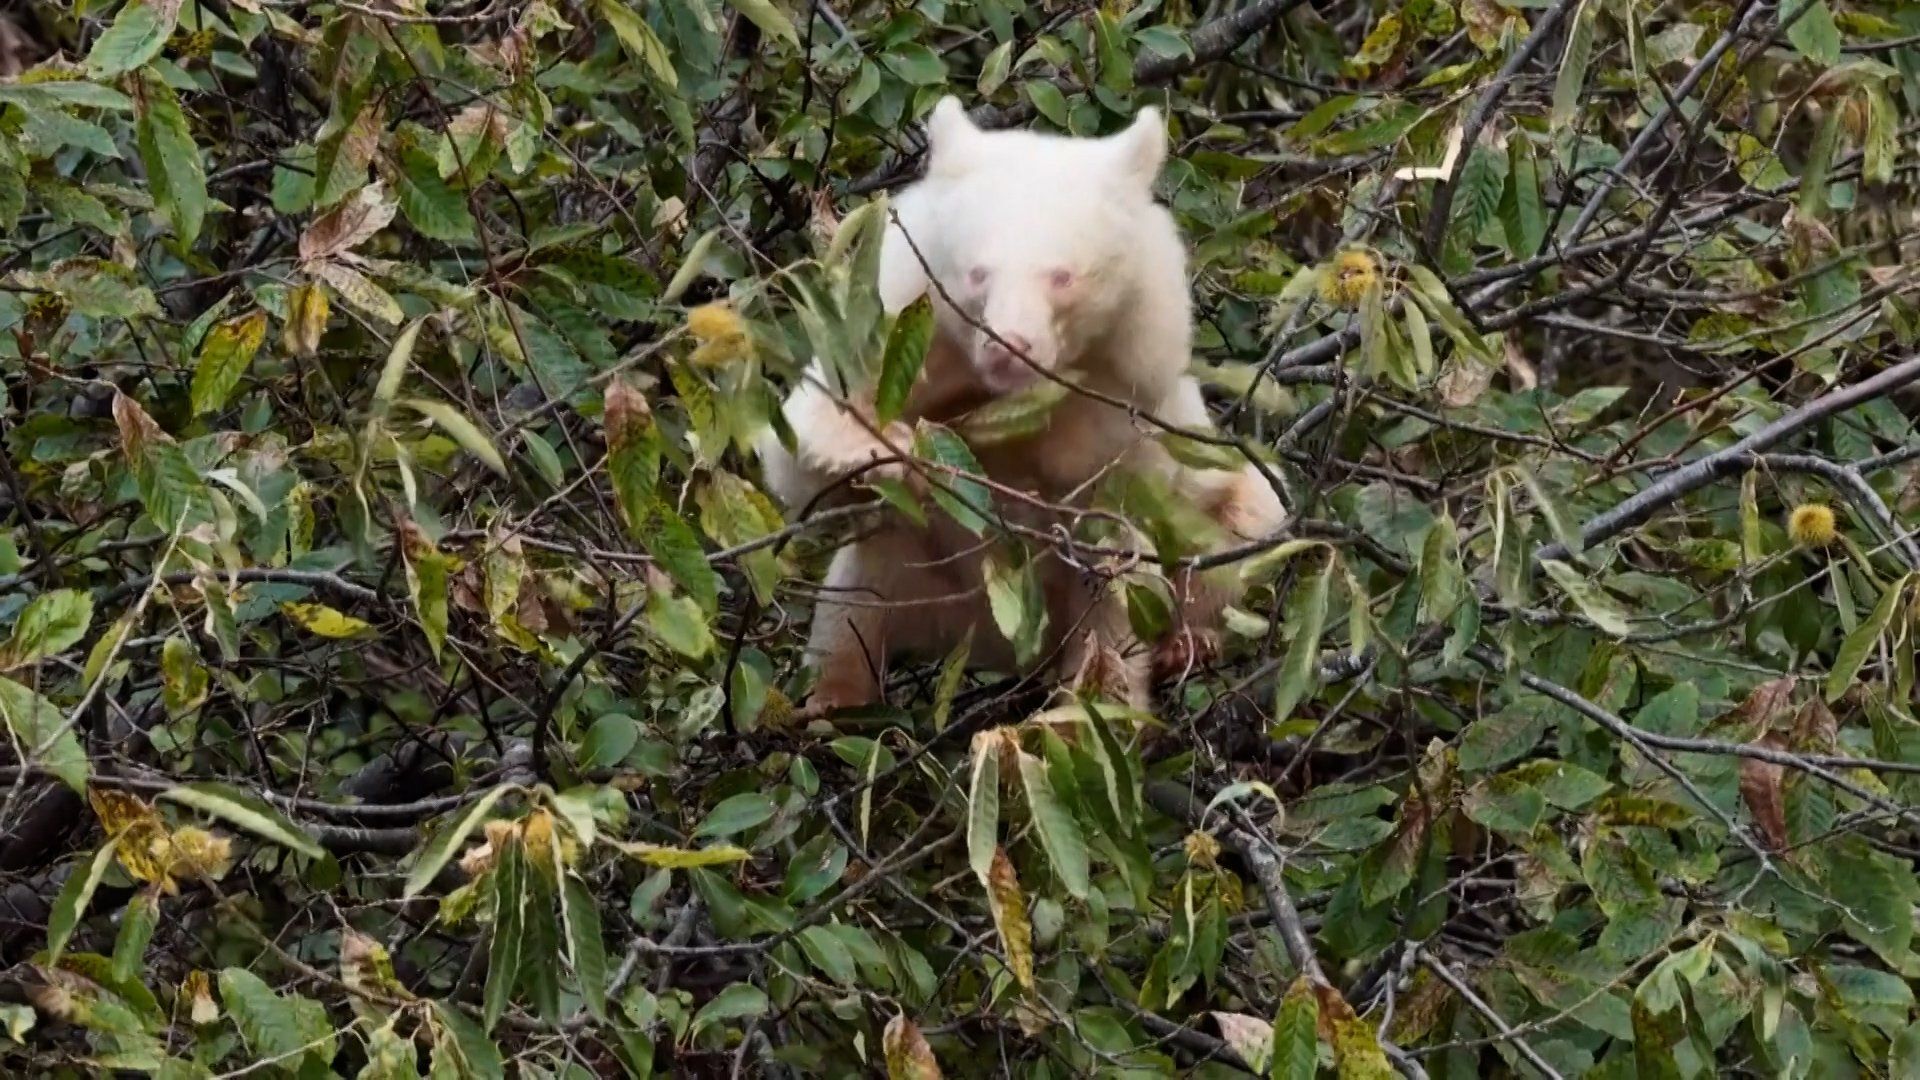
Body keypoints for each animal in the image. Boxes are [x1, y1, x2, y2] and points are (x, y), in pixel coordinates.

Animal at [756, 96, 1286, 717]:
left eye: (1062, 276)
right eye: (977, 272)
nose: (1010, 345)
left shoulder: (1126, 411)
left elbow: (1119, 559)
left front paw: (1091, 703)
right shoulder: (893, 336)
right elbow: (800, 448)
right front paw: (890, 451)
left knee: (1245, 527)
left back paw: (1185, 645)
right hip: (906, 575)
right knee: (849, 614)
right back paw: (831, 699)